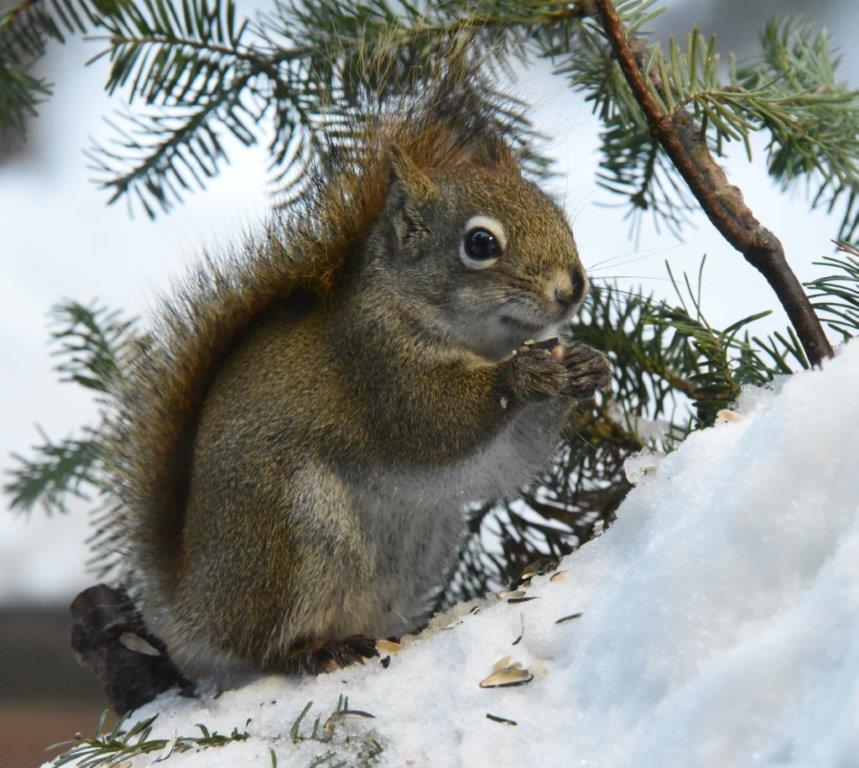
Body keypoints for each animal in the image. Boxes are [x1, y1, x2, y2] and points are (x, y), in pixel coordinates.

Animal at [108, 88, 610, 678]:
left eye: (556, 212)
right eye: (481, 243)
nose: (573, 289)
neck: (476, 342)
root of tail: (193, 605)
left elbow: (510, 461)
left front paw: (587, 365)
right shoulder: (376, 366)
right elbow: (435, 420)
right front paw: (523, 374)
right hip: (286, 534)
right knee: (262, 647)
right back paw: (312, 650)